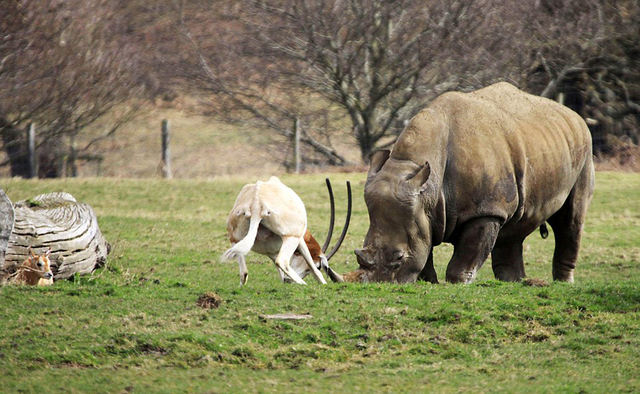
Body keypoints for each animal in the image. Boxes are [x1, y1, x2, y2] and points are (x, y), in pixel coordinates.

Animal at [221, 177, 350, 284]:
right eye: (319, 265)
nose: (288, 281)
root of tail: (256, 205)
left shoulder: (271, 252)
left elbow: (280, 273)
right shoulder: (300, 239)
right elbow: (314, 270)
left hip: (234, 240)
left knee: (244, 273)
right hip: (291, 237)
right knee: (282, 261)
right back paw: (302, 284)